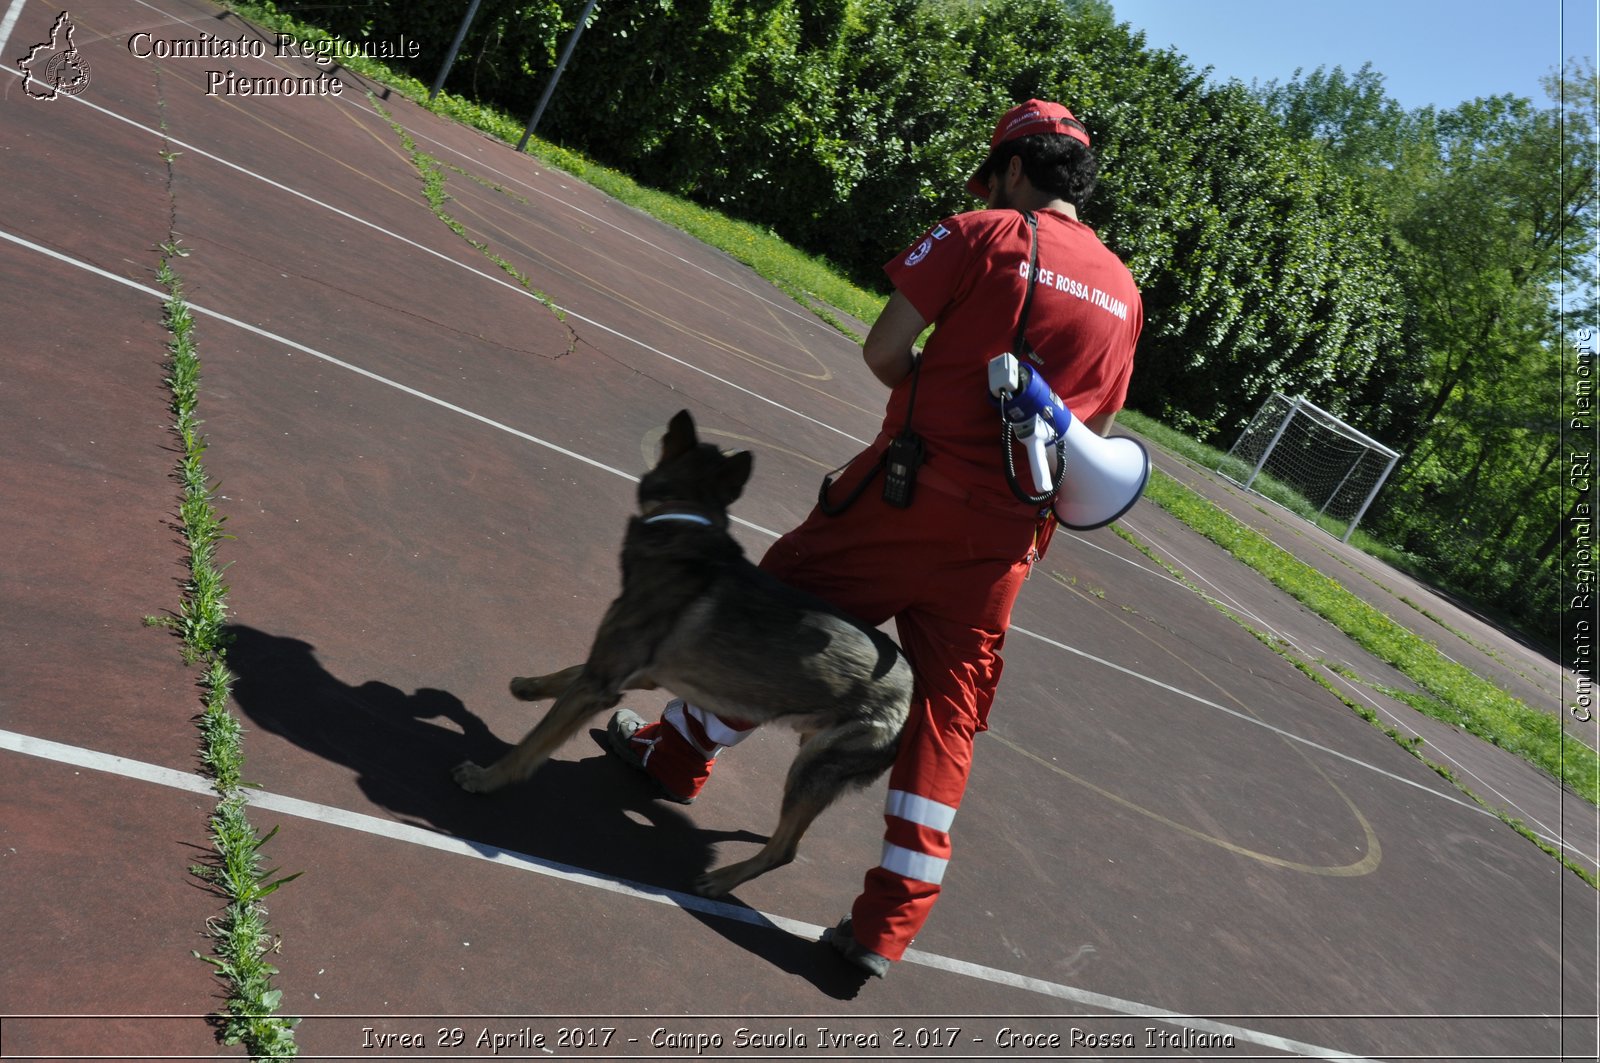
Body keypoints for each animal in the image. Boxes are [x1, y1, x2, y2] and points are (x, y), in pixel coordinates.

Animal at [454, 406, 915, 896]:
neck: (687, 517)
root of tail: (914, 697)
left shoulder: (603, 682)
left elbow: (531, 743)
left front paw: (486, 778)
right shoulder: (627, 671)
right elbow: (568, 672)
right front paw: (528, 686)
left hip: (813, 766)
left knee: (784, 851)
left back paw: (720, 881)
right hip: (811, 752)